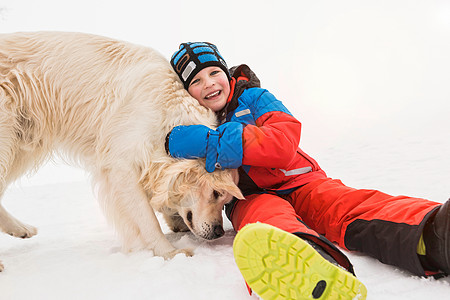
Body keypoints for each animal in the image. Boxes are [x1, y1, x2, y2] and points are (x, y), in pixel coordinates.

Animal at [0, 31, 243, 270]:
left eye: (224, 199)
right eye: (216, 193)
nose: (219, 232)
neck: (170, 125)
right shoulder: (120, 165)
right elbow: (146, 217)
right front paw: (169, 253)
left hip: (20, 147)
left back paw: (20, 229)